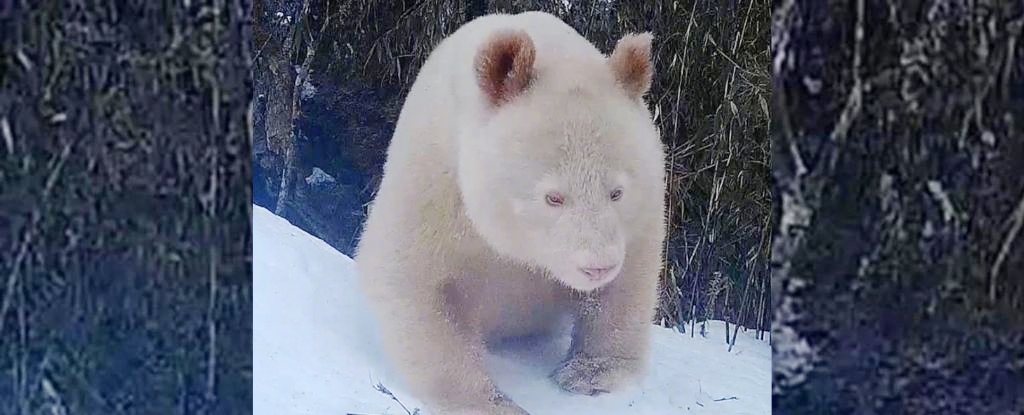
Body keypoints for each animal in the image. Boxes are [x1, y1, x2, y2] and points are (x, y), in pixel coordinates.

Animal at [356, 10, 667, 413]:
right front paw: (489, 401)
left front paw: (591, 374)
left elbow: (628, 282)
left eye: (616, 192)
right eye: (553, 197)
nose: (597, 267)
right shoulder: (435, 182)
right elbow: (412, 279)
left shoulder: (642, 212)